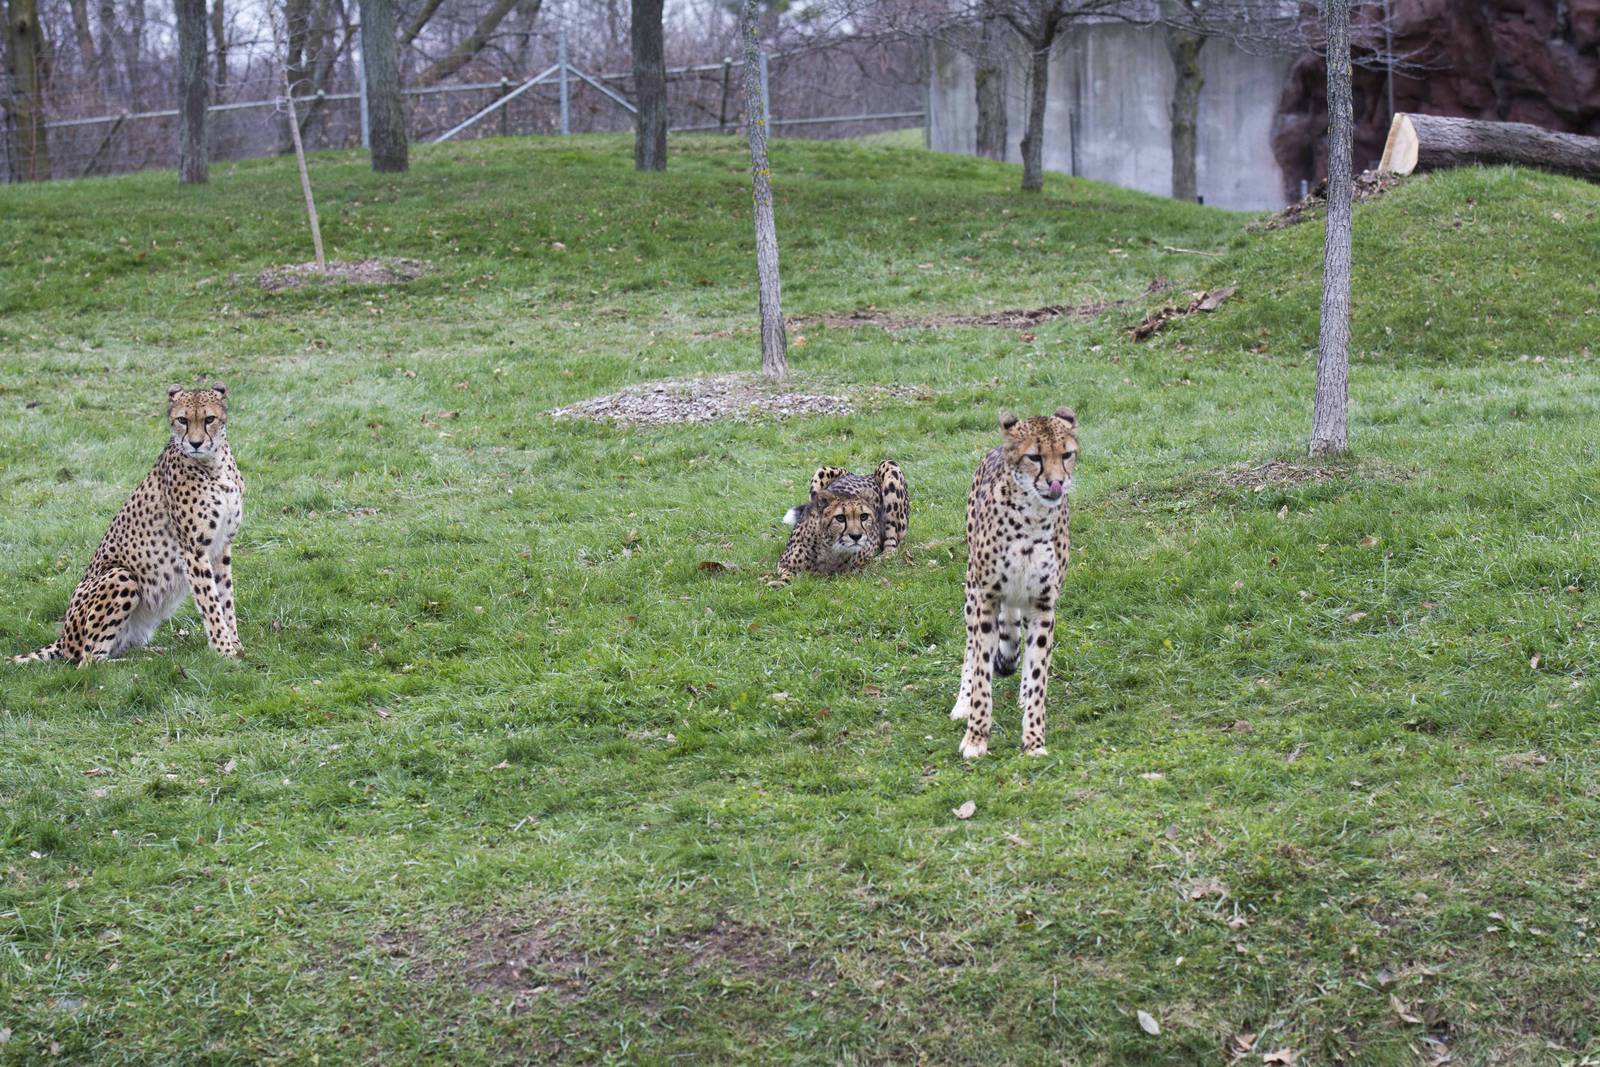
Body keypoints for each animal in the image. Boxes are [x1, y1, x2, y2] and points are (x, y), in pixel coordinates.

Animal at [12, 384, 245, 667]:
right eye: (182, 420)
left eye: (209, 419)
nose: (196, 443)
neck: (214, 464)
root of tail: (63, 637)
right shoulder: (193, 549)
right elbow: (210, 602)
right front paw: (224, 651)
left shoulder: (222, 546)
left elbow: (225, 598)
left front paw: (235, 643)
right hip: (121, 575)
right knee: (88, 661)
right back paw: (141, 663)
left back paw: (152, 652)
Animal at [769, 461, 909, 587]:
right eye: (840, 518)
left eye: (864, 516)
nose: (856, 536)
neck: (827, 548)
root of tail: (863, 475)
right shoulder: (782, 565)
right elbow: (788, 574)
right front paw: (777, 583)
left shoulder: (858, 565)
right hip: (820, 473)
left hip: (890, 466)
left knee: (892, 542)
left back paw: (884, 557)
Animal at [950, 408, 1078, 758]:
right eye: (1034, 457)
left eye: (1066, 454)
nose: (1057, 482)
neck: (1033, 518)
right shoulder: (987, 598)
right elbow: (981, 673)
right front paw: (976, 737)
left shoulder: (1043, 603)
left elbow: (1037, 674)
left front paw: (1034, 740)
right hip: (971, 590)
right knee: (970, 648)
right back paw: (962, 703)